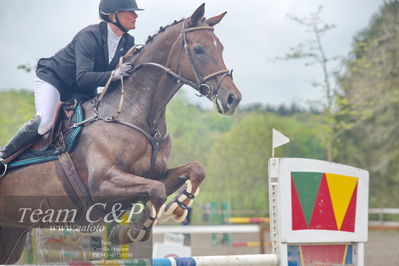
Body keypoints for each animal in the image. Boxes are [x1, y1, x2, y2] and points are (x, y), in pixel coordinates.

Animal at [0, 4, 241, 264]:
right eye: (198, 49)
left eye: (221, 48)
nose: (233, 99)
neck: (135, 115)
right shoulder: (103, 183)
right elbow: (157, 191)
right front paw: (133, 231)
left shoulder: (153, 174)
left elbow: (192, 171)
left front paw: (176, 207)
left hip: (12, 235)